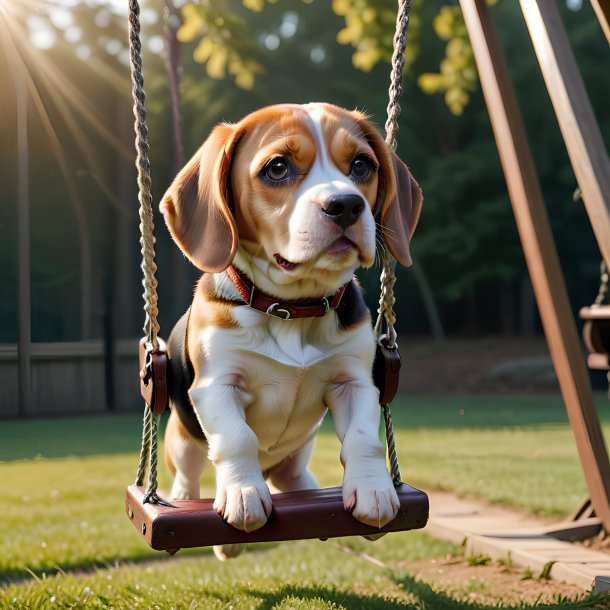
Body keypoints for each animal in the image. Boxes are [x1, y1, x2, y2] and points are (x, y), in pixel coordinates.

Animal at [159, 103, 420, 556]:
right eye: (277, 168)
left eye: (361, 166)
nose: (346, 205)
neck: (293, 310)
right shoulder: (217, 384)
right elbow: (237, 438)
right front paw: (243, 494)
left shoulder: (355, 382)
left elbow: (364, 439)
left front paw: (374, 490)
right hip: (182, 438)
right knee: (189, 475)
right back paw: (193, 508)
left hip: (296, 455)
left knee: (294, 481)